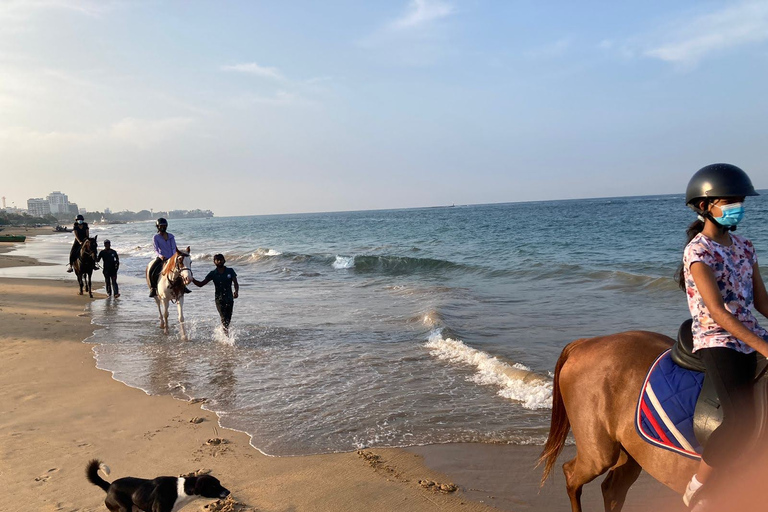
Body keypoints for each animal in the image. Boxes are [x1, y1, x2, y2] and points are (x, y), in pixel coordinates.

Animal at [86, 460, 231, 512]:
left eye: (219, 483)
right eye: (214, 486)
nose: (228, 492)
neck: (180, 489)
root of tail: (109, 487)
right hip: (124, 509)